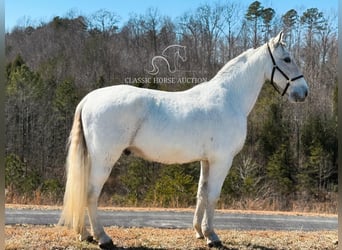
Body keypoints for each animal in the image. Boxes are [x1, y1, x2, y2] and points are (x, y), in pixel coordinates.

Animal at [58, 32, 308, 249]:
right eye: (287, 59)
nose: (304, 92)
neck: (230, 98)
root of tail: (90, 98)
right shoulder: (221, 160)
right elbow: (213, 196)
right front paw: (212, 237)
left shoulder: (206, 161)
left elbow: (201, 194)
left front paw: (199, 232)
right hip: (105, 159)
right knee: (91, 193)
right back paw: (103, 238)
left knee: (82, 190)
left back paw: (84, 234)